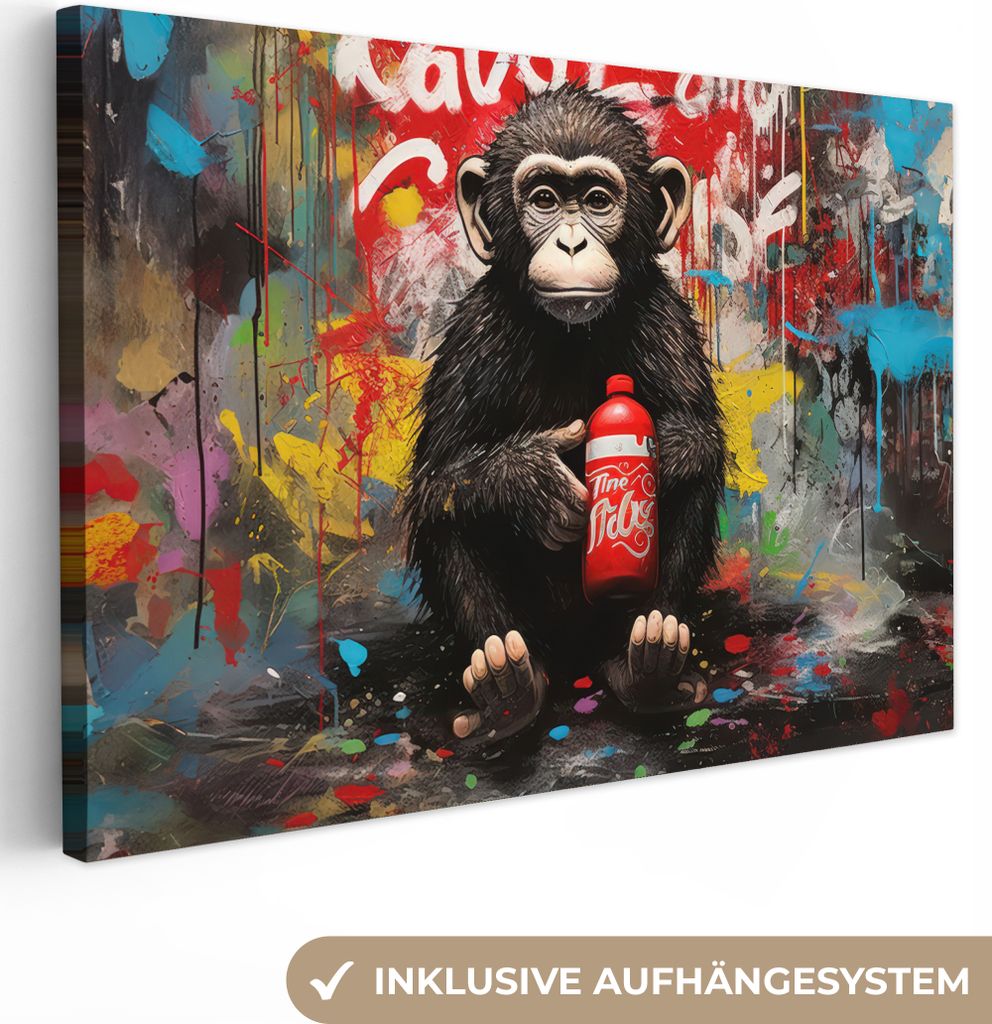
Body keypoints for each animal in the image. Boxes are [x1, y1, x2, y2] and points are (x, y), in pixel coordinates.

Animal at [404, 84, 725, 745]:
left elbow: (699, 435)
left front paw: (664, 451)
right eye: (544, 199)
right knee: (448, 513)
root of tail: (575, 656)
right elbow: (438, 475)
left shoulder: (668, 323)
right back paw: (509, 688)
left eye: (598, 200)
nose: (572, 242)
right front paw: (534, 481)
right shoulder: (475, 336)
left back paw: (645, 662)